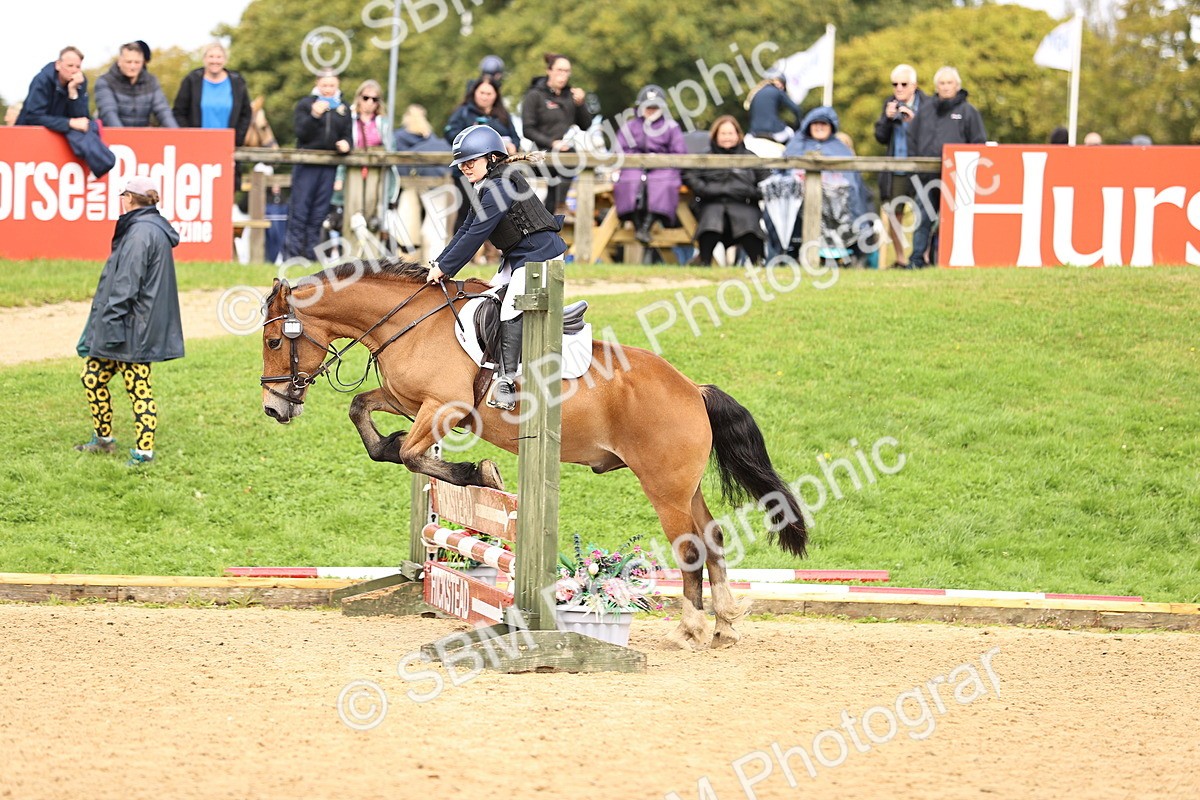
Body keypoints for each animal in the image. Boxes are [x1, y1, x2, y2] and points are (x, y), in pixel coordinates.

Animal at [259, 259, 808, 649]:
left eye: (273, 341)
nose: (273, 407)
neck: (412, 323)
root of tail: (693, 389)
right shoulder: (408, 402)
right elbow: (364, 416)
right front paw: (393, 443)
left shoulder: (442, 407)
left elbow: (415, 456)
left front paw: (480, 471)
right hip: (683, 485)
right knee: (712, 537)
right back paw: (726, 626)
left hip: (664, 487)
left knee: (691, 547)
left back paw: (689, 630)